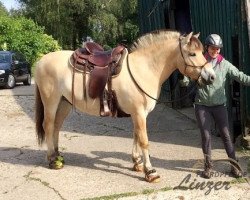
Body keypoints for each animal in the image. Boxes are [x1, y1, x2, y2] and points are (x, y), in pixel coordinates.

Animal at [34, 30, 216, 183]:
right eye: (192, 53)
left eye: (201, 52)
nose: (211, 77)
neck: (144, 69)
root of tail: (41, 61)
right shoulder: (139, 113)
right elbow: (144, 140)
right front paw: (150, 172)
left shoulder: (139, 114)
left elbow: (136, 135)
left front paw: (137, 163)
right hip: (51, 101)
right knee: (48, 126)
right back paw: (52, 160)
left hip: (64, 103)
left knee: (56, 126)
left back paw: (58, 156)